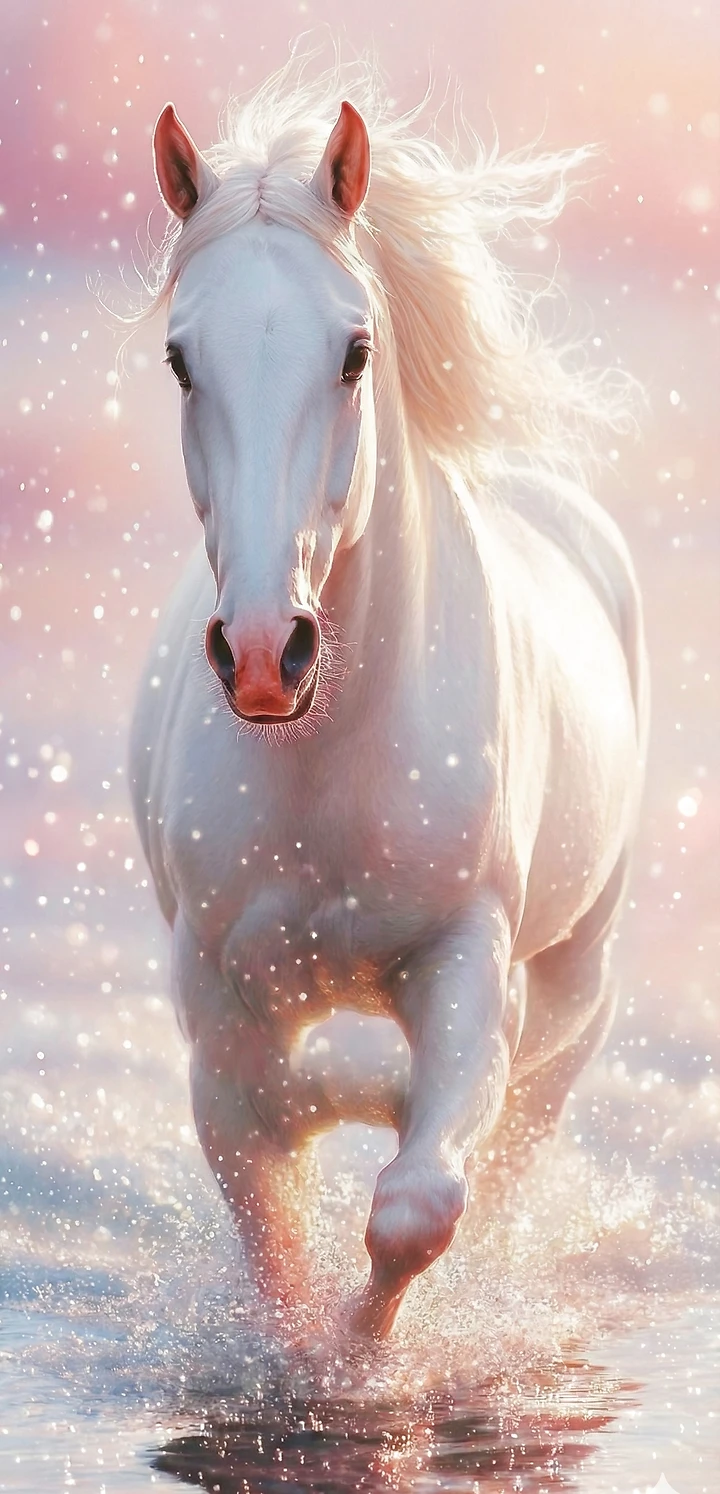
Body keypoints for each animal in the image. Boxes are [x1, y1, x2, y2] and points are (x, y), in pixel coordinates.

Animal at [128, 57, 649, 1341]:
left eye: (355, 352)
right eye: (181, 360)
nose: (267, 656)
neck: (335, 773)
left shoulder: (466, 965)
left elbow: (417, 1205)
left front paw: (365, 1357)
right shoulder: (218, 1008)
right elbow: (273, 1182)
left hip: (578, 963)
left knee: (531, 1106)